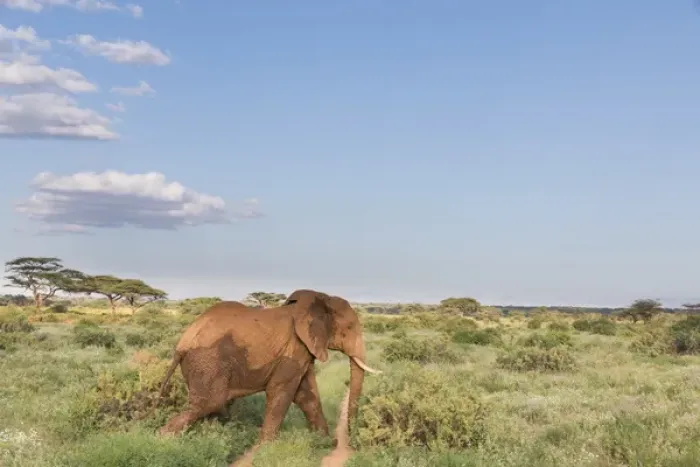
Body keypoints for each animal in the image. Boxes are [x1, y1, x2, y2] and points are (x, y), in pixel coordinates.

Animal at [155, 289, 381, 462]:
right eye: (349, 328)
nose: (349, 444)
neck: (319, 299)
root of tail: (181, 344)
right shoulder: (293, 349)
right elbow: (282, 392)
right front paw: (265, 448)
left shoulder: (302, 350)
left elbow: (306, 395)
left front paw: (324, 442)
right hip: (207, 361)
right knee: (210, 403)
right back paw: (162, 440)